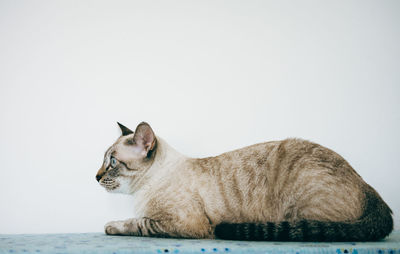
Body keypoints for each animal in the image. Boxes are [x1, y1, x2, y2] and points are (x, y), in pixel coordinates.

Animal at [95, 122, 392, 241]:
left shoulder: (186, 224)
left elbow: (139, 223)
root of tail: (368, 186)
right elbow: (139, 221)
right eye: (104, 161)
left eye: (112, 162)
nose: (95, 176)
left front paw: (111, 225)